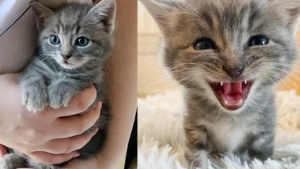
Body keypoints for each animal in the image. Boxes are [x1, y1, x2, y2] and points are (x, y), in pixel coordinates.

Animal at [0, 0, 115, 169]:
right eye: (54, 40)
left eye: (82, 41)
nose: (65, 55)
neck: (61, 69)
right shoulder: (35, 64)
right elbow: (32, 76)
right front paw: (34, 97)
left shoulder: (95, 87)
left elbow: (76, 80)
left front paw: (59, 91)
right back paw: (10, 160)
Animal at [141, 0, 300, 168]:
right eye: (203, 45)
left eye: (259, 41)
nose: (234, 68)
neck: (231, 117)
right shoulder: (193, 126)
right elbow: (195, 154)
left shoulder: (265, 127)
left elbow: (262, 158)